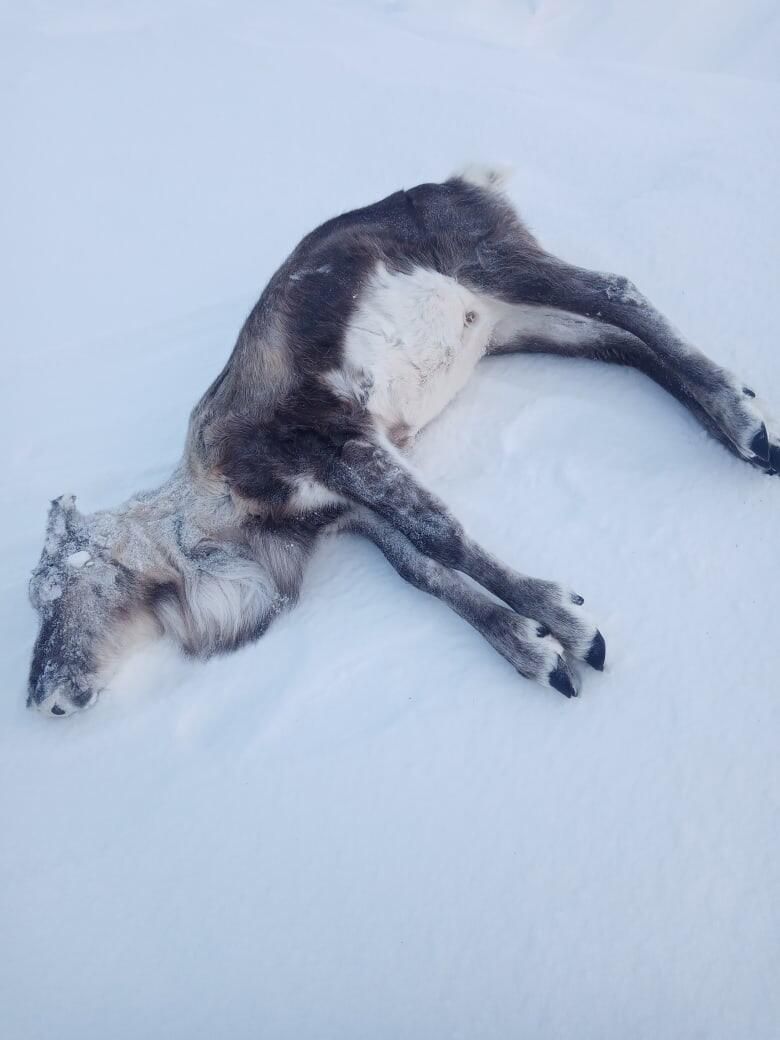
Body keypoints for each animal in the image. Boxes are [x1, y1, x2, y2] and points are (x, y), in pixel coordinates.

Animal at [27, 167, 779, 716]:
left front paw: (571, 627)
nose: (42, 699)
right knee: (625, 346)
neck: (216, 508)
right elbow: (423, 570)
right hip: (512, 325)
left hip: (495, 261)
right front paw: (533, 649)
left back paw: (744, 423)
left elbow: (443, 536)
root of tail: (464, 178)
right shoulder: (349, 511)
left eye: (51, 590)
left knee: (620, 294)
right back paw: (734, 421)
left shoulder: (336, 442)